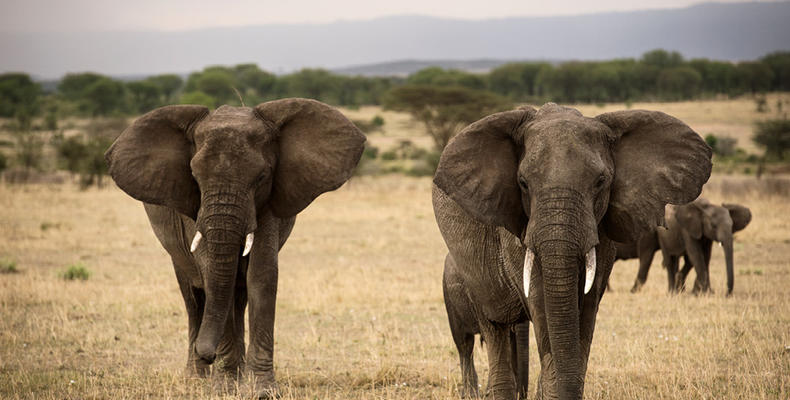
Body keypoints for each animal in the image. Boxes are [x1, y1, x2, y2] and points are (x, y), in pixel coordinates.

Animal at [103, 98, 366, 398]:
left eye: (262, 176)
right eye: (194, 177)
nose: (207, 353)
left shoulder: (268, 202)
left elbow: (262, 276)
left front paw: (263, 390)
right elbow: (211, 275)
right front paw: (225, 388)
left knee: (236, 293)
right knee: (193, 297)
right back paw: (197, 378)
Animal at [436, 101, 716, 398]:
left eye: (601, 181)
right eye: (522, 183)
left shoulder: (600, 233)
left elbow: (587, 306)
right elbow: (541, 302)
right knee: (493, 326)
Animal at [624, 198, 756, 296]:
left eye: (732, 225)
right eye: (713, 226)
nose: (727, 294)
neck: (706, 208)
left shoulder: (705, 234)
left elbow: (706, 257)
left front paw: (702, 293)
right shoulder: (687, 229)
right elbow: (696, 255)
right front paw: (705, 293)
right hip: (661, 235)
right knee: (668, 260)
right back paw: (672, 292)